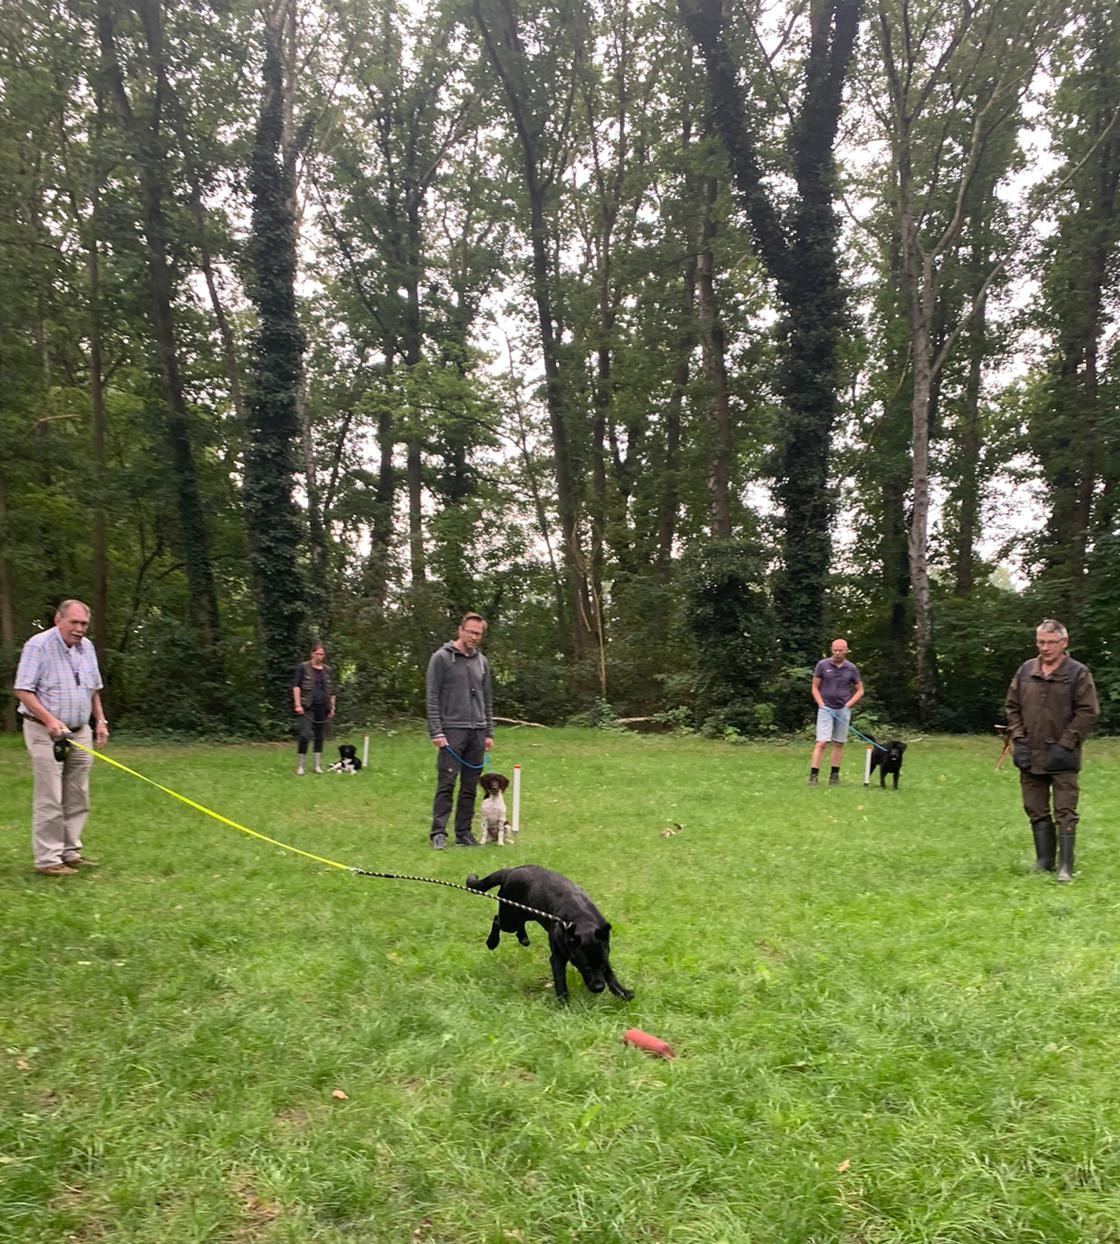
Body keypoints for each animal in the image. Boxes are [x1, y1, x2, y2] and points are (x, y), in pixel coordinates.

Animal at [466, 865, 633, 1004]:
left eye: (602, 964)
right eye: (585, 967)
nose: (599, 988)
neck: (581, 918)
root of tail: (511, 870)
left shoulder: (604, 951)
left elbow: (611, 975)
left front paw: (622, 992)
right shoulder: (557, 958)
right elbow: (560, 981)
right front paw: (564, 1004)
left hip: (526, 913)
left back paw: (523, 938)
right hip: (510, 918)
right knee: (497, 920)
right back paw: (492, 942)